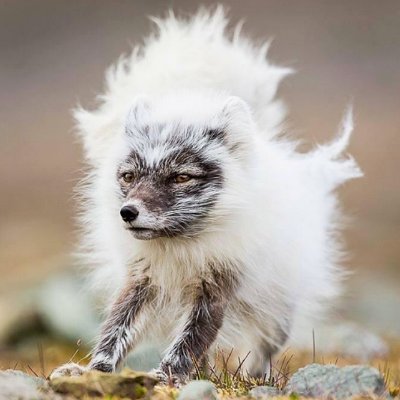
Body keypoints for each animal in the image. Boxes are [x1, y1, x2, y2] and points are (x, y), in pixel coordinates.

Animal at [50, 7, 362, 384]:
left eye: (181, 177)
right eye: (128, 176)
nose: (128, 212)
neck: (180, 248)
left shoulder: (215, 289)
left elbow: (189, 341)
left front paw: (165, 378)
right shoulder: (142, 281)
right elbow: (115, 331)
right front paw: (93, 372)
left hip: (276, 309)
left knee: (263, 346)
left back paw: (256, 378)